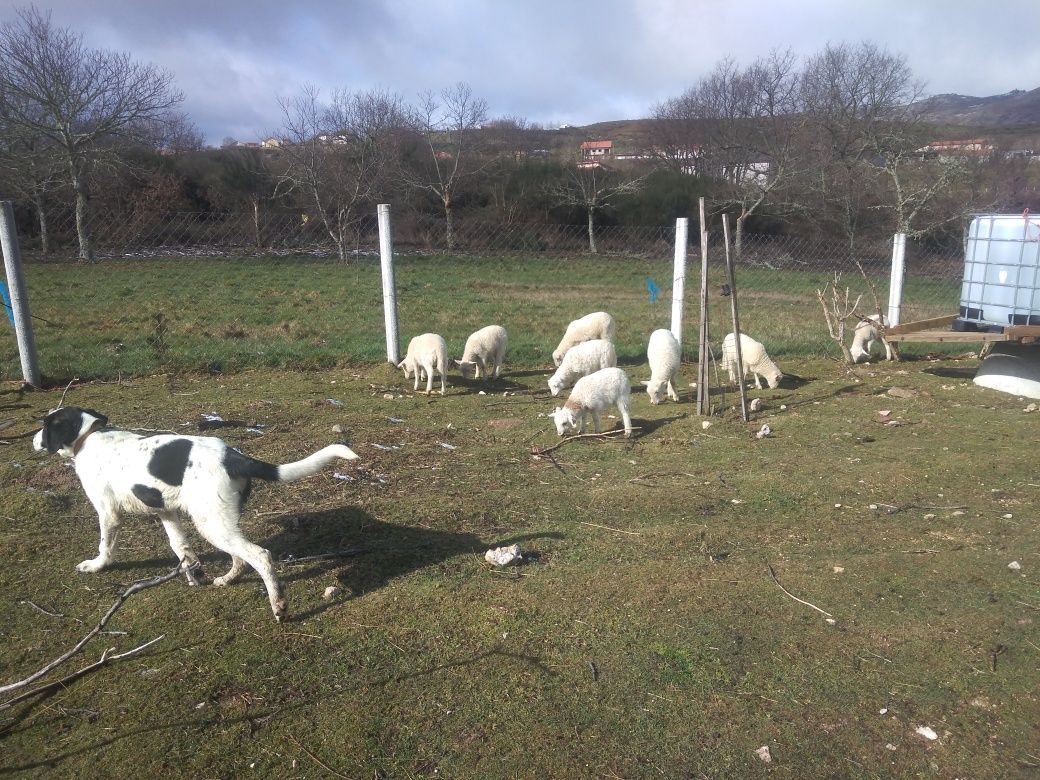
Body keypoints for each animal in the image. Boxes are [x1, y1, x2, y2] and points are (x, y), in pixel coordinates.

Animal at [33, 409, 361, 624]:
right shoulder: (166, 511)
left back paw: (278, 605)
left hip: (211, 524)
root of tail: (234, 456)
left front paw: (95, 566)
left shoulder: (108, 512)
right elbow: (181, 547)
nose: (33, 440)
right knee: (240, 556)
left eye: (45, 426)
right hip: (218, 521)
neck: (89, 436)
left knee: (261, 555)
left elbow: (106, 546)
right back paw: (227, 579)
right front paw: (193, 573)